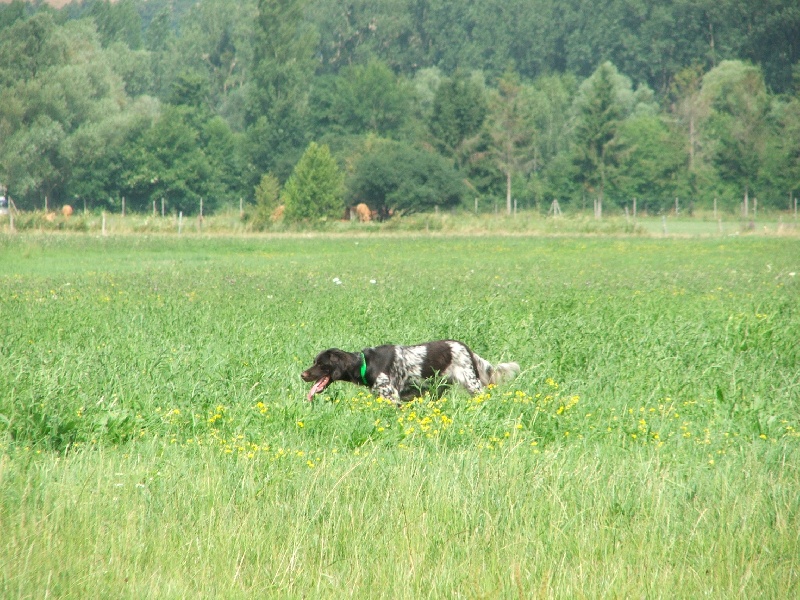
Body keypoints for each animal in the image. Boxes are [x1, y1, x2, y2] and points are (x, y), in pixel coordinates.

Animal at [300, 342, 520, 404]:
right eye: (314, 362)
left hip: (472, 384)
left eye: (320, 364)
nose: (302, 375)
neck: (365, 364)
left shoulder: (393, 398)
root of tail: (465, 347)